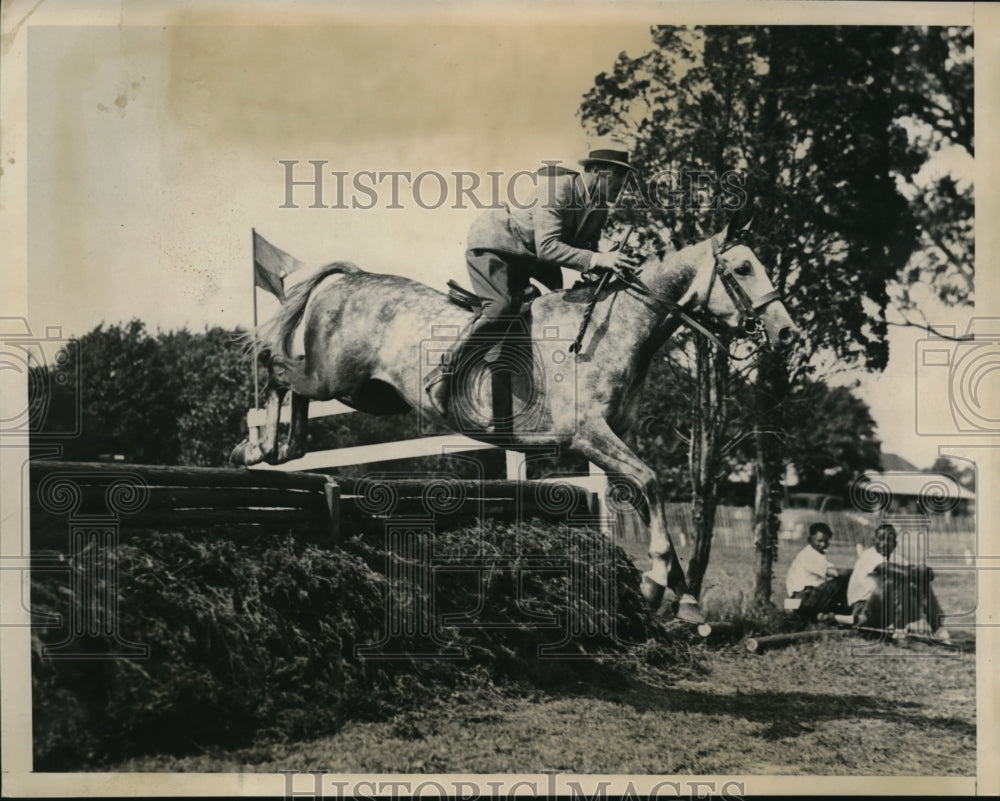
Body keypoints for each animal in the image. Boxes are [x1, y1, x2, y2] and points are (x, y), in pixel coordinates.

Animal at [232, 209, 796, 620]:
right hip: (337, 377)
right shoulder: (588, 436)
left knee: (296, 402)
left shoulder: (610, 441)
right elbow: (652, 481)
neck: (616, 330)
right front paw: (658, 581)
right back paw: (254, 447)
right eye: (743, 269)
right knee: (276, 368)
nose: (786, 332)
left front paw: (682, 597)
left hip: (368, 393)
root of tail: (351, 280)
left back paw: (276, 449)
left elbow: (642, 493)